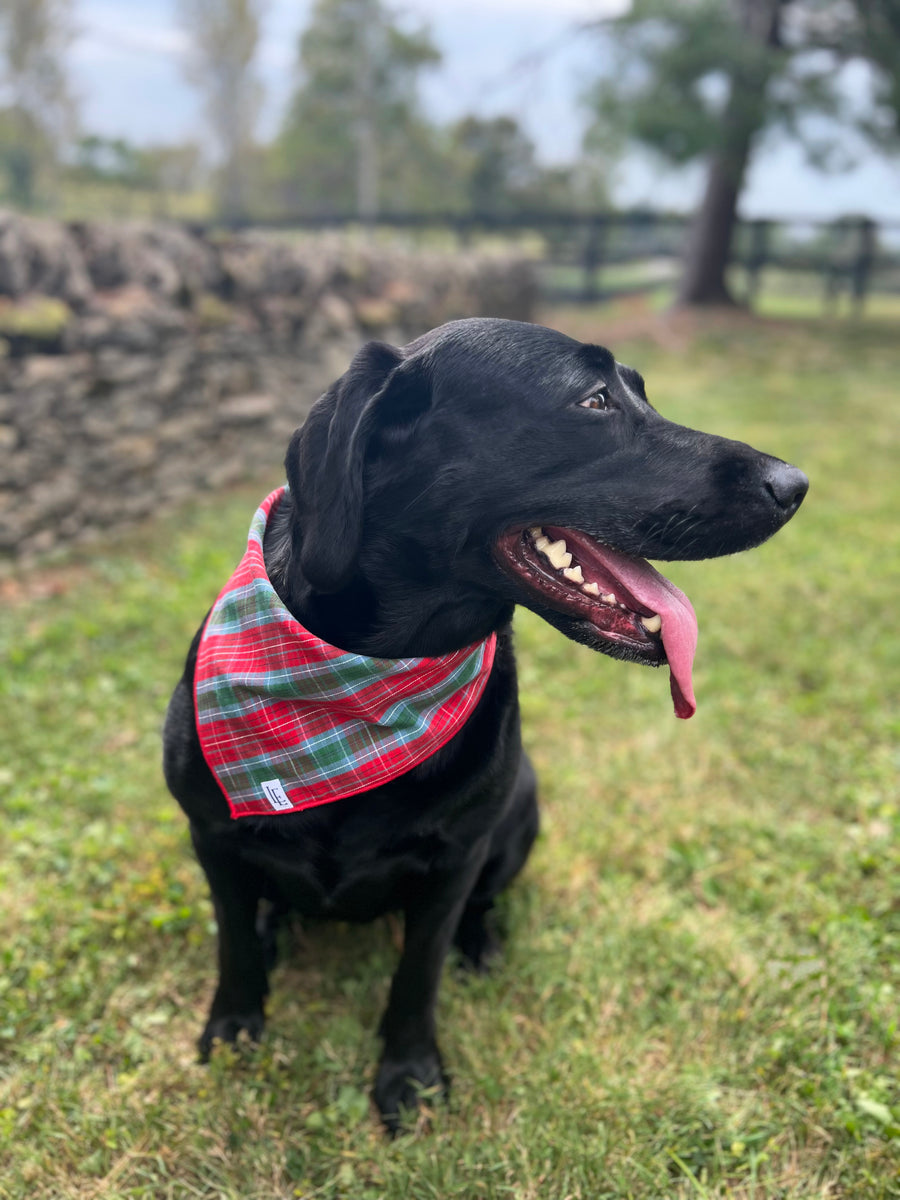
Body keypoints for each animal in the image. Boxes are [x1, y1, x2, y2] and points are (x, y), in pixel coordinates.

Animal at [164, 314, 811, 1128]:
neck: (364, 692)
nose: (794, 484)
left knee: (484, 905)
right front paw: (232, 1029)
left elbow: (418, 973)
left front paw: (409, 1076)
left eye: (640, 390)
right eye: (595, 398)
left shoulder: (456, 859)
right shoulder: (211, 836)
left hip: (520, 809)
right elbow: (233, 949)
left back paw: (482, 946)